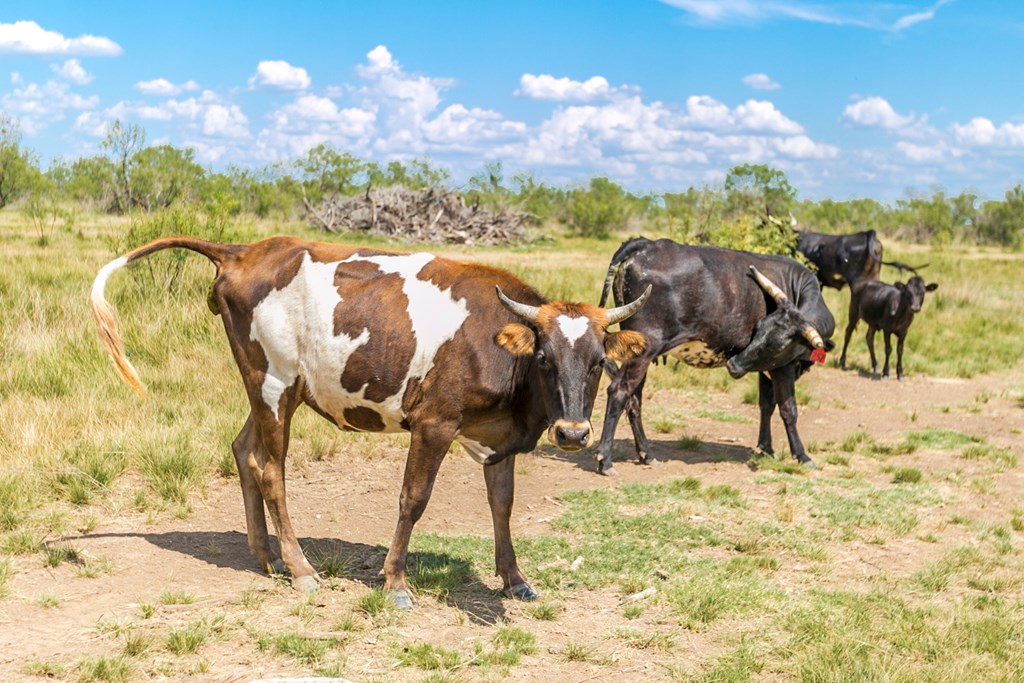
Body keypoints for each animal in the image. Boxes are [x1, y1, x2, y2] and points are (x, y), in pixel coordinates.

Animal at [90, 236, 647, 610]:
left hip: (278, 390)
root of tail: (246, 250)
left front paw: (514, 579)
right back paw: (301, 569)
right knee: (271, 470)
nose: (572, 434)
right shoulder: (433, 424)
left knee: (243, 451)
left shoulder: (497, 439)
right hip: (272, 383)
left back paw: (267, 557)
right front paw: (396, 583)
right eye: (545, 358)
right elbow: (413, 499)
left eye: (598, 361)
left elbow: (502, 505)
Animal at [598, 237, 835, 479]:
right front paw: (802, 456)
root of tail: (644, 244)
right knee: (620, 392)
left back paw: (647, 453)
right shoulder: (783, 367)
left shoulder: (766, 365)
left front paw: (766, 448)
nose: (733, 364)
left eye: (776, 344)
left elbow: (766, 405)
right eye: (759, 330)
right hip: (645, 350)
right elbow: (789, 410)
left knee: (634, 399)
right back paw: (605, 459)